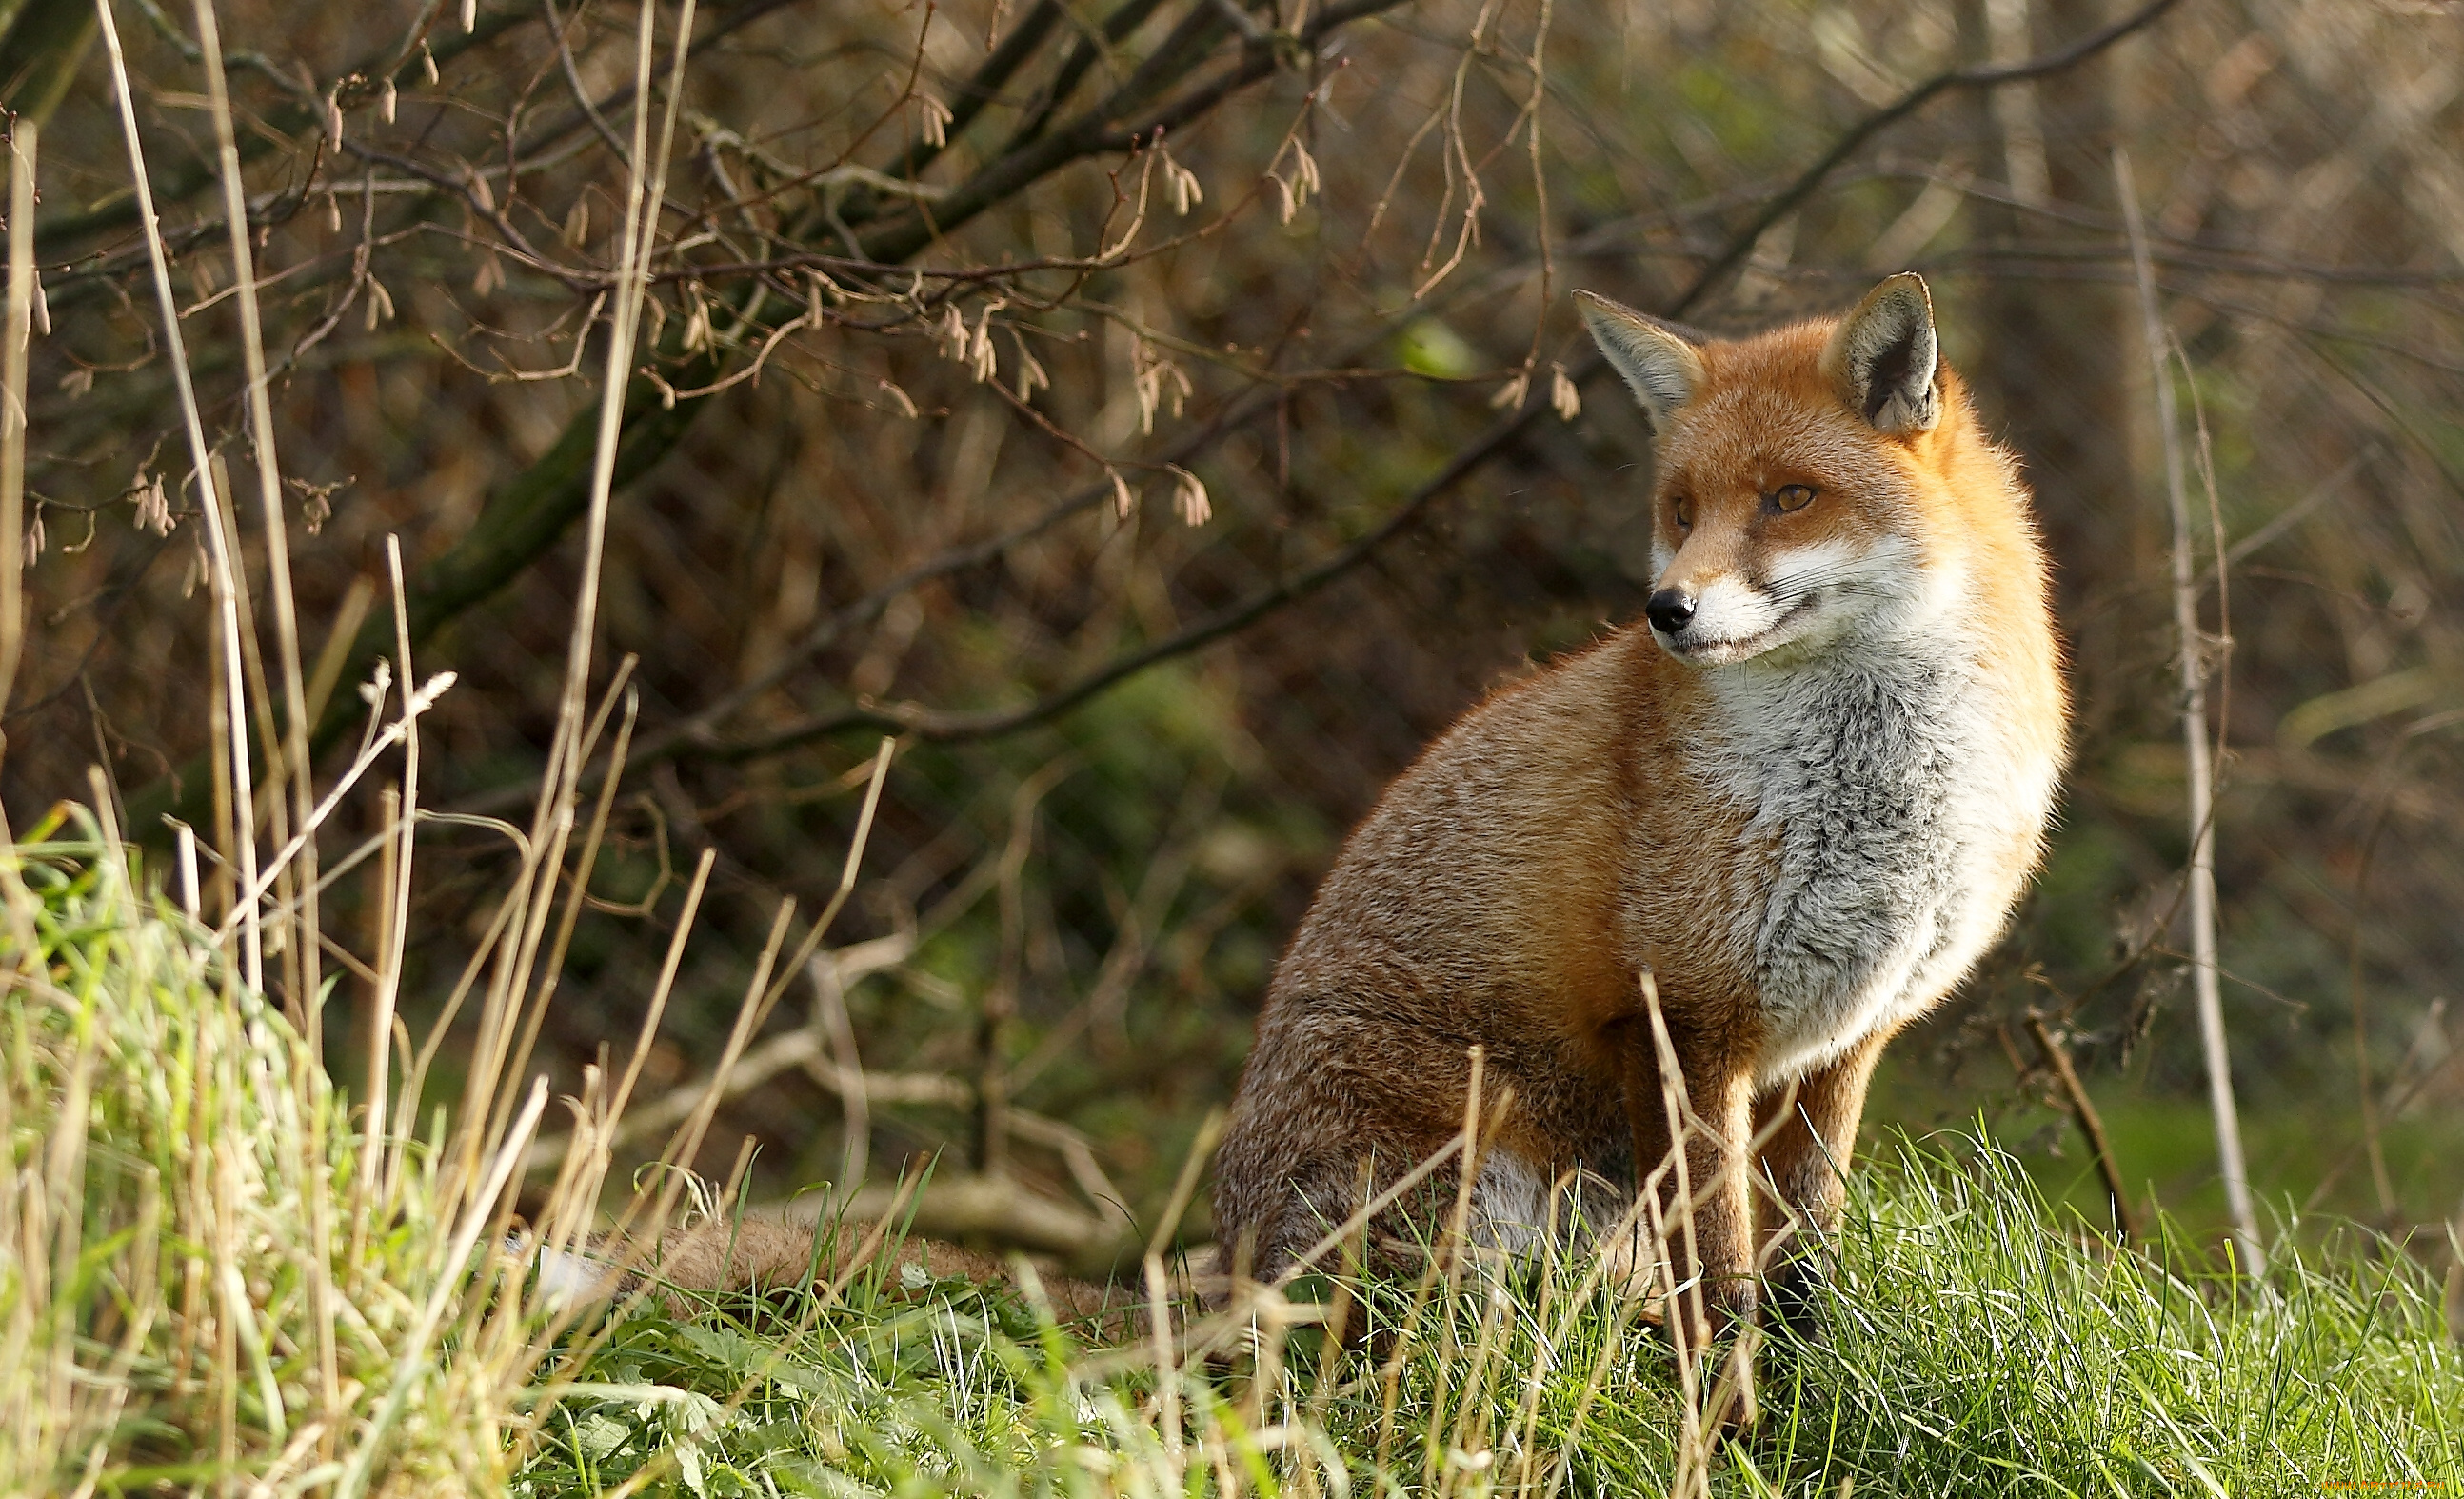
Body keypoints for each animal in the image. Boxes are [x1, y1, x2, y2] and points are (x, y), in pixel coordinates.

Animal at [1207, 274, 2059, 1350]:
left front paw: (1809, 1363)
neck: (1869, 792)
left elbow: (1806, 1243)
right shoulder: (1681, 1021)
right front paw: (1730, 1386)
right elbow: (1720, 1262)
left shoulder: (1846, 1038)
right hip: (1470, 1184)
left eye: (1789, 497)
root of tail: (1215, 1282)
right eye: (1681, 511)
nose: (1666, 610)